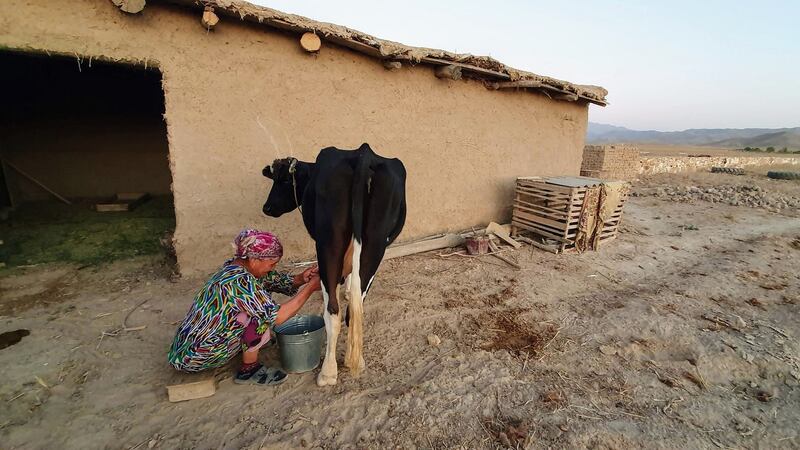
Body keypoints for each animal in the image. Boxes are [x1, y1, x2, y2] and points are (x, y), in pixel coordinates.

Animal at [264, 144, 406, 386]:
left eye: (281, 181)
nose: (267, 208)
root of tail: (364, 154)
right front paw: (348, 290)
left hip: (328, 244)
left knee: (333, 312)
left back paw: (328, 372)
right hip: (376, 244)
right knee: (354, 309)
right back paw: (354, 359)